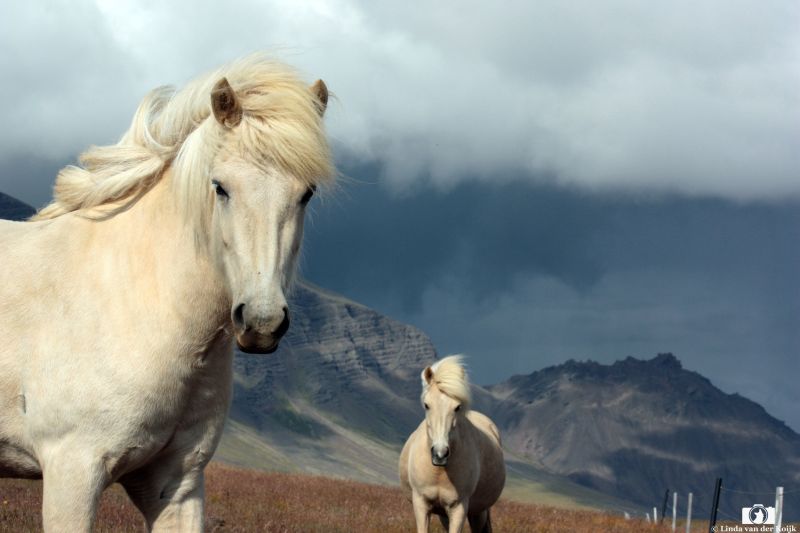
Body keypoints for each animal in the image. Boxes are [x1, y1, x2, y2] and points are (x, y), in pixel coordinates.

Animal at [399, 356, 506, 533]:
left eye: (457, 407)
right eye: (427, 405)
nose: (440, 454)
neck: (439, 472)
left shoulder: (459, 508)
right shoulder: (421, 505)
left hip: (478, 511)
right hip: (445, 514)